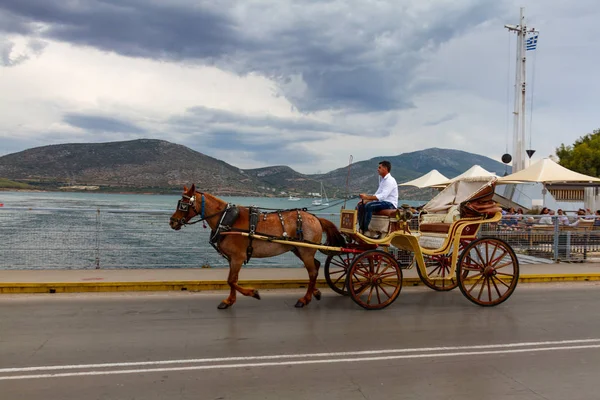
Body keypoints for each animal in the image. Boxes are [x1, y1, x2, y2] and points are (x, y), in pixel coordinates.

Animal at [171, 184, 344, 310]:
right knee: (316, 266)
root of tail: (316, 218)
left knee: (313, 272)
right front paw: (229, 300)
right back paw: (315, 292)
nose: (172, 221)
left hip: (306, 251)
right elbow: (232, 280)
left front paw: (253, 292)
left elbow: (231, 280)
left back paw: (305, 299)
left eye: (184, 205)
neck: (227, 220)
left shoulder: (238, 257)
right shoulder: (232, 258)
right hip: (298, 249)